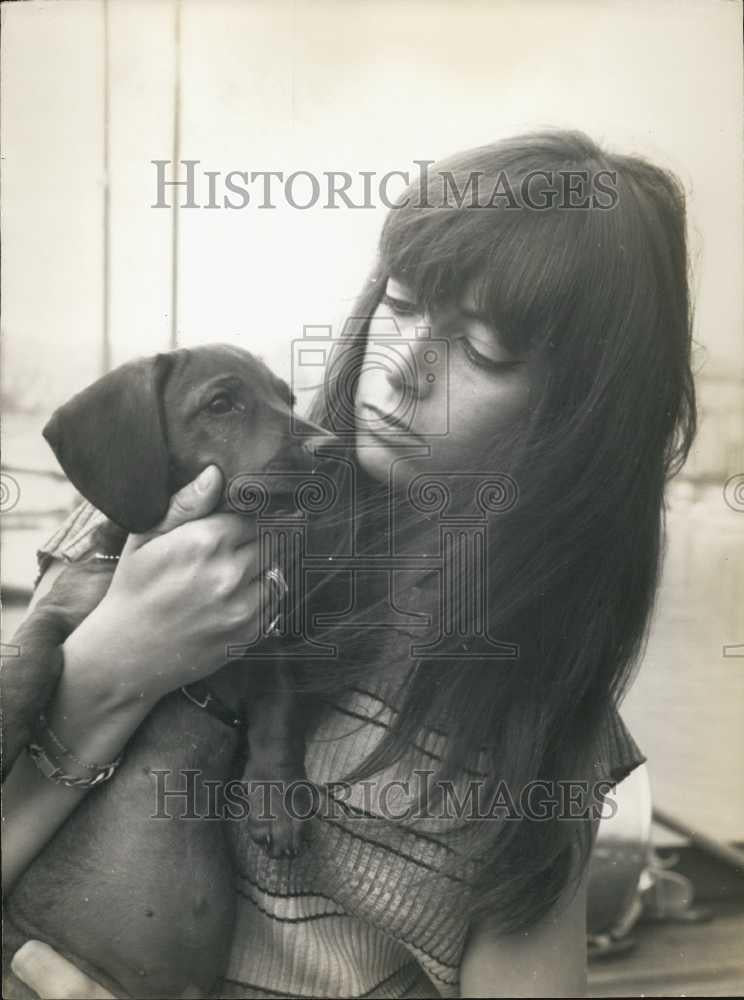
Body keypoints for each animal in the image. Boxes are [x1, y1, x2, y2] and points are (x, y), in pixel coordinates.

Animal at [2, 346, 322, 1000]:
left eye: (289, 398)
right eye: (222, 403)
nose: (330, 447)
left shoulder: (266, 644)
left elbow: (279, 721)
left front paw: (277, 799)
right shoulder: (64, 609)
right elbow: (35, 655)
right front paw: (0, 725)